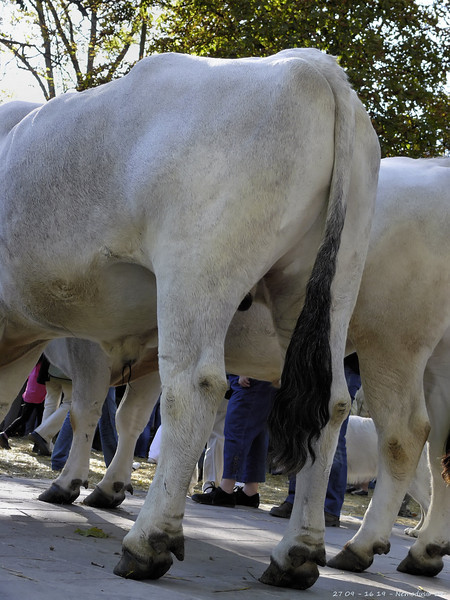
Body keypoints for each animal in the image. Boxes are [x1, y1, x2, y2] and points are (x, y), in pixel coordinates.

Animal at [0, 48, 380, 592]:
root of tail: (311, 66)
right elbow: (126, 415)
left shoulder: (76, 340)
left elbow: (84, 408)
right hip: (331, 289)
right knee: (331, 407)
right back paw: (296, 555)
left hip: (197, 270)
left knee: (196, 390)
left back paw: (148, 542)